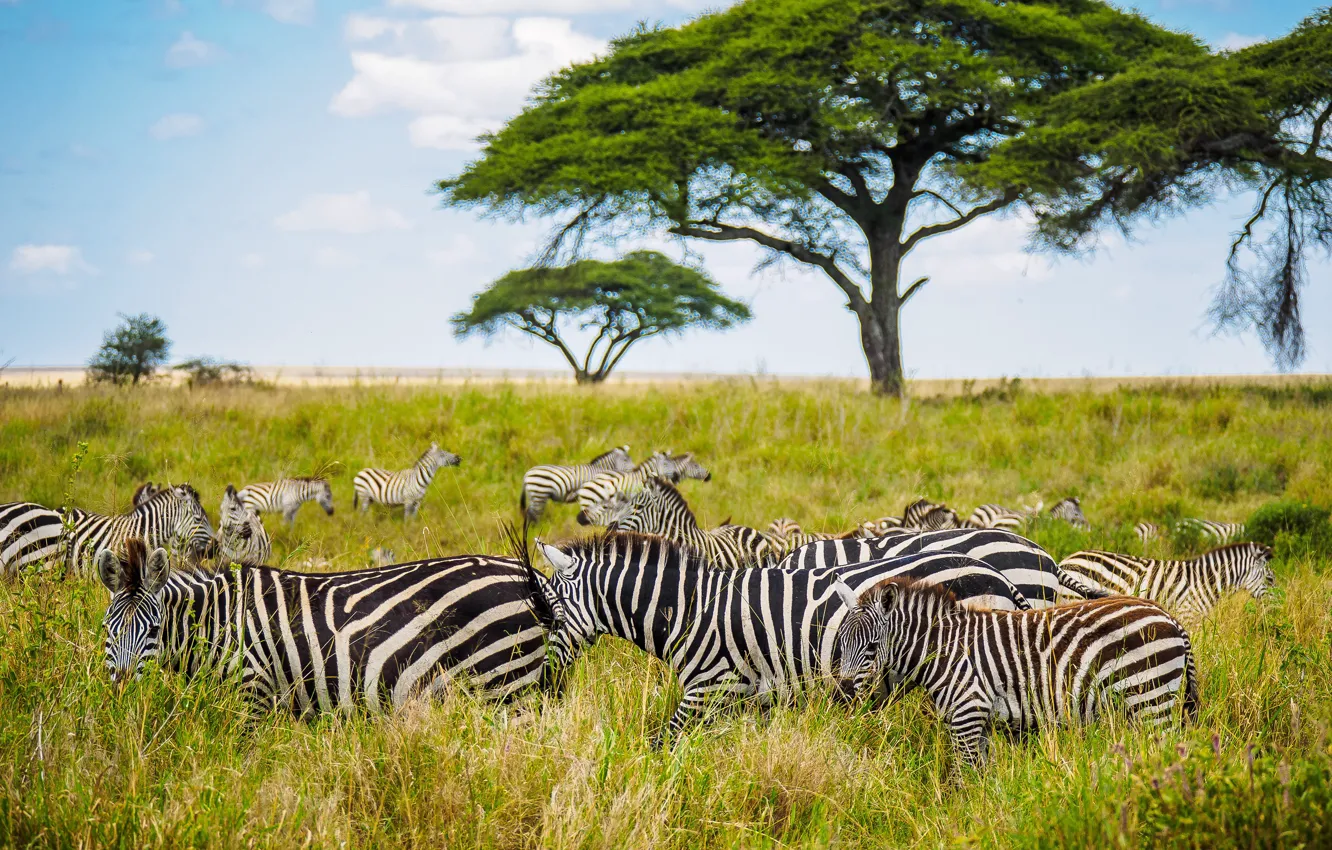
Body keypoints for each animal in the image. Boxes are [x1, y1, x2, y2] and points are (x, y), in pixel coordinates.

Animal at [96, 537, 560, 710]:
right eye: (108, 630)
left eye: (152, 631)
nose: (119, 690)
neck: (220, 622)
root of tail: (531, 577)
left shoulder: (255, 691)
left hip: (505, 685)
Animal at [534, 532, 1031, 743]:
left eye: (550, 616)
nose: (544, 688)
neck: (690, 612)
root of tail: (997, 576)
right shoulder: (755, 699)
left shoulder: (710, 688)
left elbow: (664, 742)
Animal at [833, 578, 1200, 770]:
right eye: (840, 643)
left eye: (871, 647)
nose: (843, 693)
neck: (945, 652)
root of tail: (1170, 618)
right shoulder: (977, 721)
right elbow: (980, 777)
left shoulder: (967, 713)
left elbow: (964, 777)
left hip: (1150, 700)